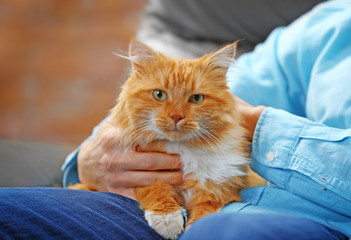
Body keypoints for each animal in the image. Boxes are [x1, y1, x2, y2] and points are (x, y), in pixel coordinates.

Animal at [71, 40, 262, 239]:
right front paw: (167, 219)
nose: (176, 116)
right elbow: (158, 190)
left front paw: (194, 228)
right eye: (159, 94)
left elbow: (204, 213)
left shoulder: (220, 190)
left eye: (197, 98)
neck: (182, 150)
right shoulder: (143, 175)